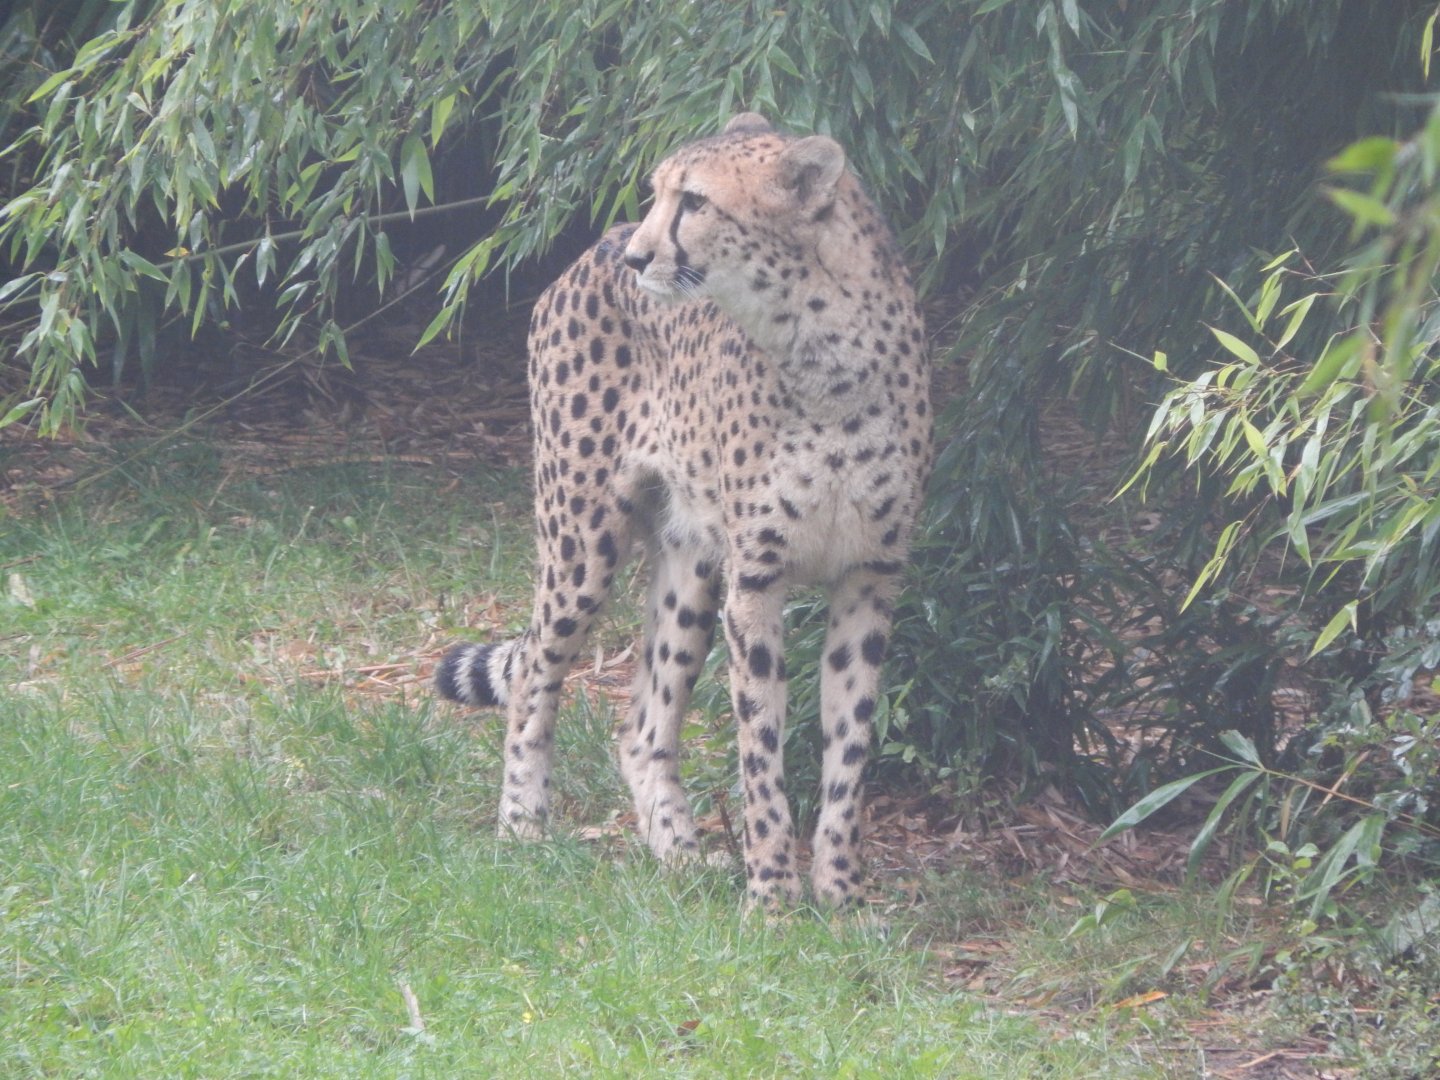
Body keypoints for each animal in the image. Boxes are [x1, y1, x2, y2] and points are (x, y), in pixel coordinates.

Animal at [435, 113, 932, 908]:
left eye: (694, 201)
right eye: (658, 192)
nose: (640, 255)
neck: (821, 350)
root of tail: (589, 248)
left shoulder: (870, 576)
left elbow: (849, 746)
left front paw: (842, 895)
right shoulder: (757, 579)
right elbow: (760, 748)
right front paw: (772, 899)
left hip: (692, 561)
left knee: (641, 728)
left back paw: (679, 855)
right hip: (582, 540)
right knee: (537, 669)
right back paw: (521, 825)